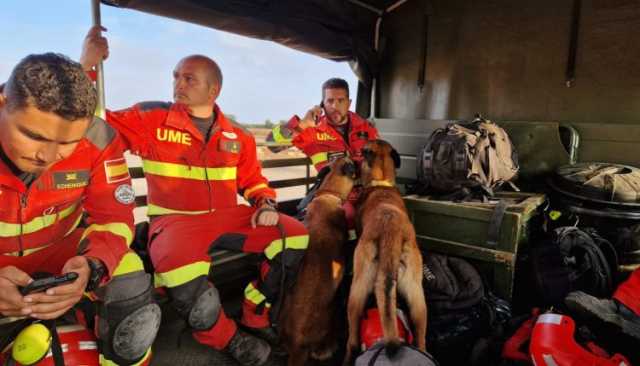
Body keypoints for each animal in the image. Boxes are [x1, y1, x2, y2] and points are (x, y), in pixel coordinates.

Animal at [342, 139, 428, 364]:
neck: (380, 183)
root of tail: (391, 233)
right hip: (417, 295)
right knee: (421, 337)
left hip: (357, 290)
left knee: (352, 339)